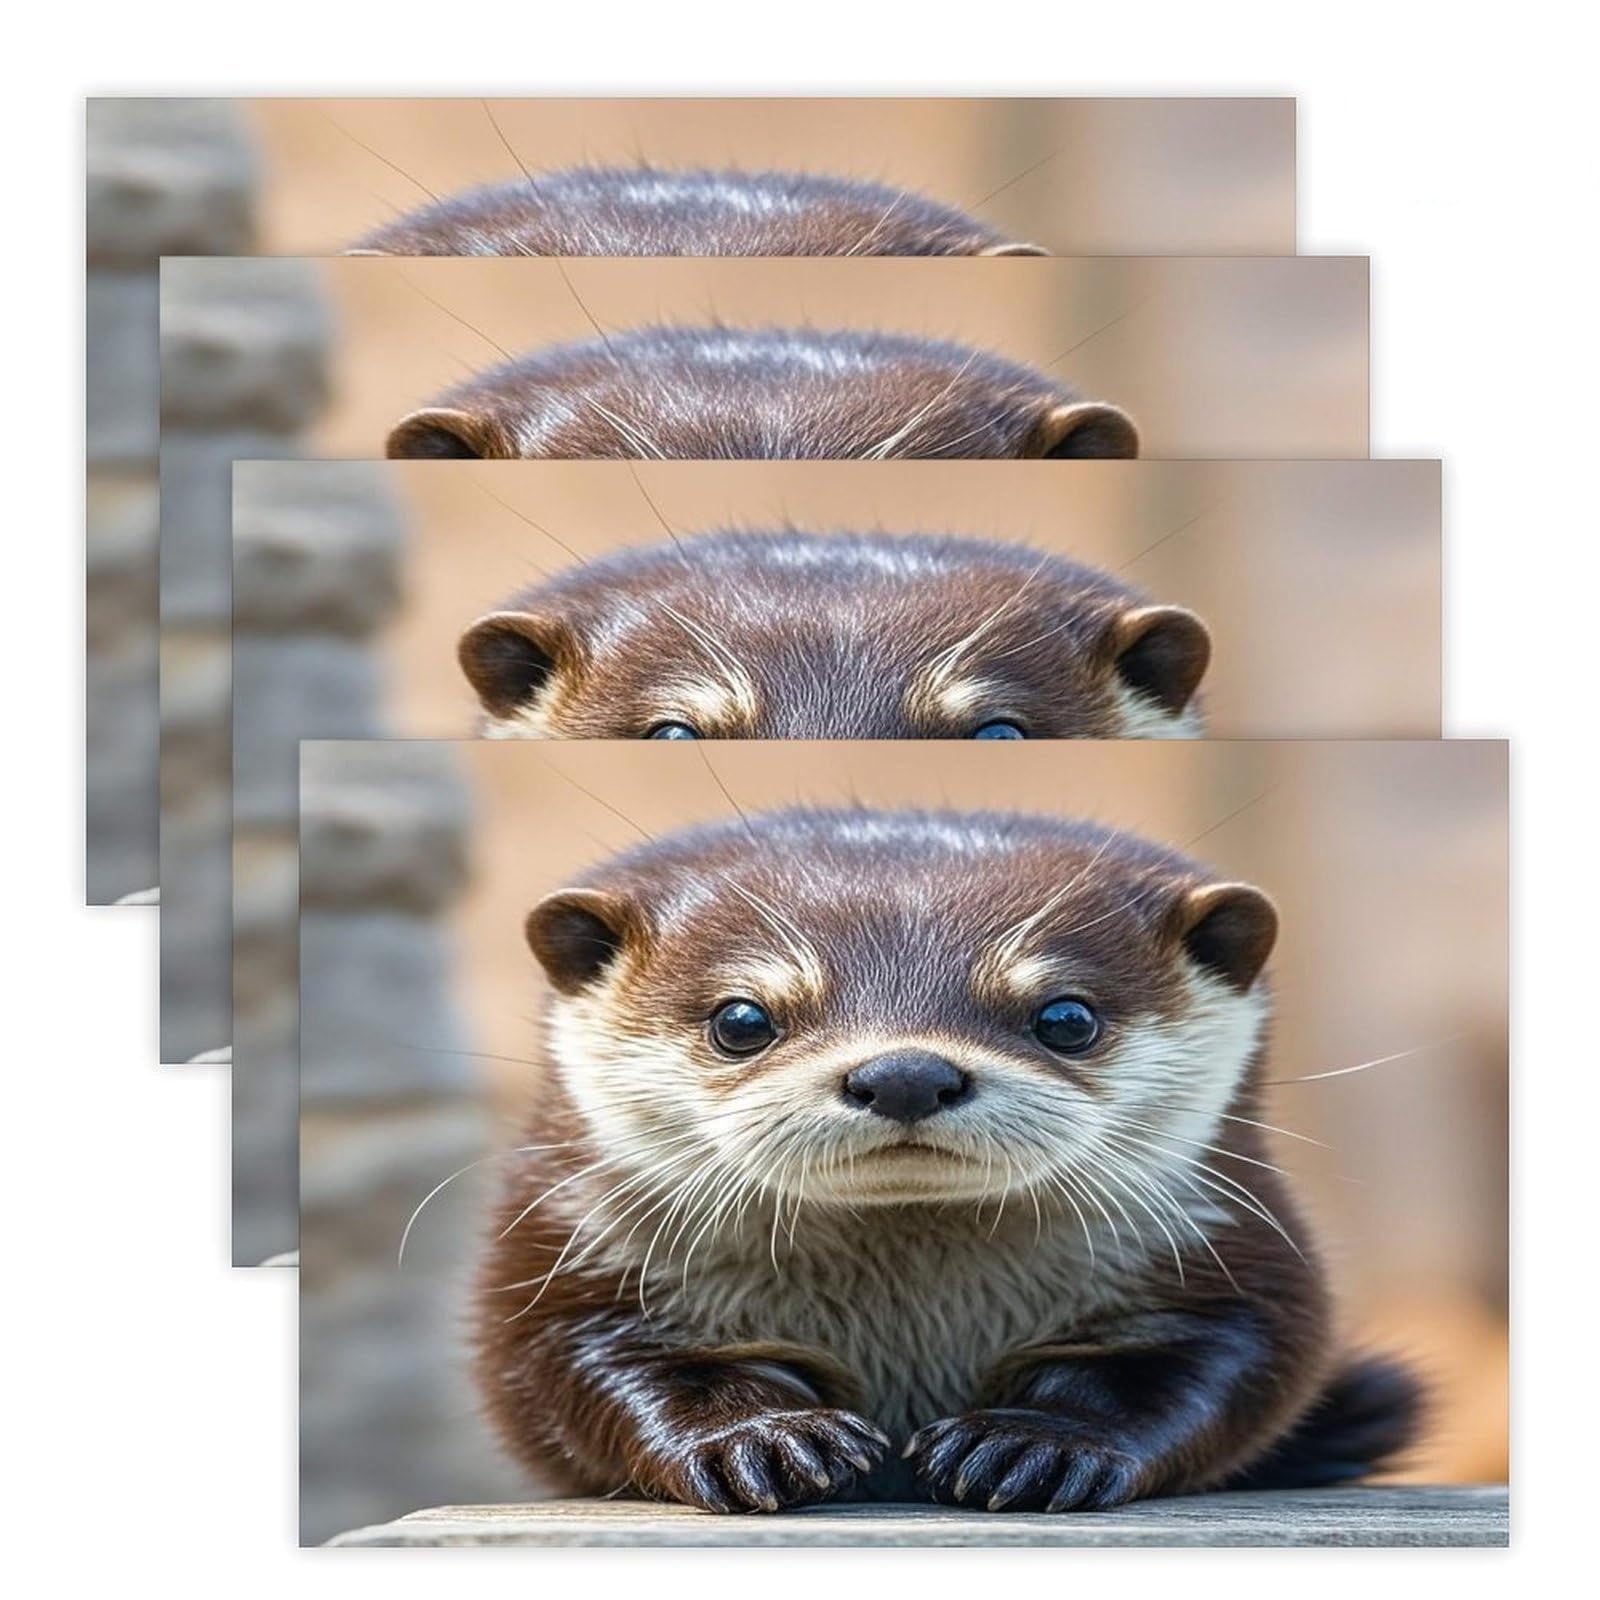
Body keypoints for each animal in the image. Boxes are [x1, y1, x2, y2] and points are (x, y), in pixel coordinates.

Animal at [475, 807, 1420, 1512]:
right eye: (741, 1019)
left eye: (1066, 1016)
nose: (905, 1072)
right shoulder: (575, 1258)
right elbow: (578, 1366)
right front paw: (754, 1439)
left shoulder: (1228, 1256)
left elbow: (1211, 1362)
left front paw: (1036, 1444)